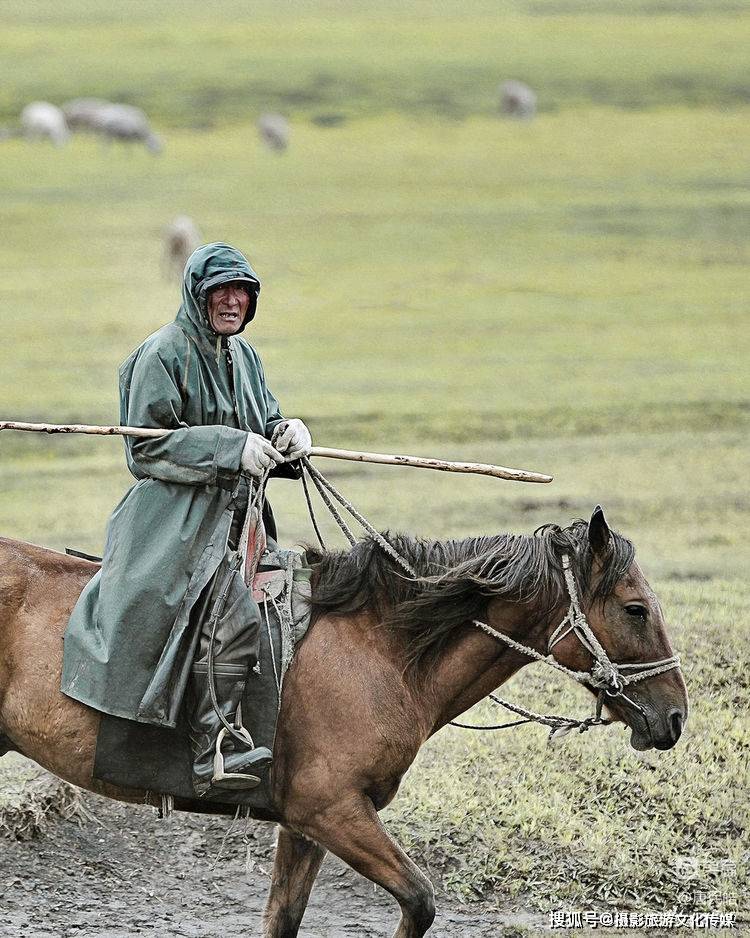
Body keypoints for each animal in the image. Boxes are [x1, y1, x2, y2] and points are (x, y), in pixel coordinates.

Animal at [0, 508, 692, 932]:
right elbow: (420, 901)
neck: (383, 648)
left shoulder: (306, 825)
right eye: (635, 608)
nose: (675, 717)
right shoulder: (332, 811)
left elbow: (284, 919)